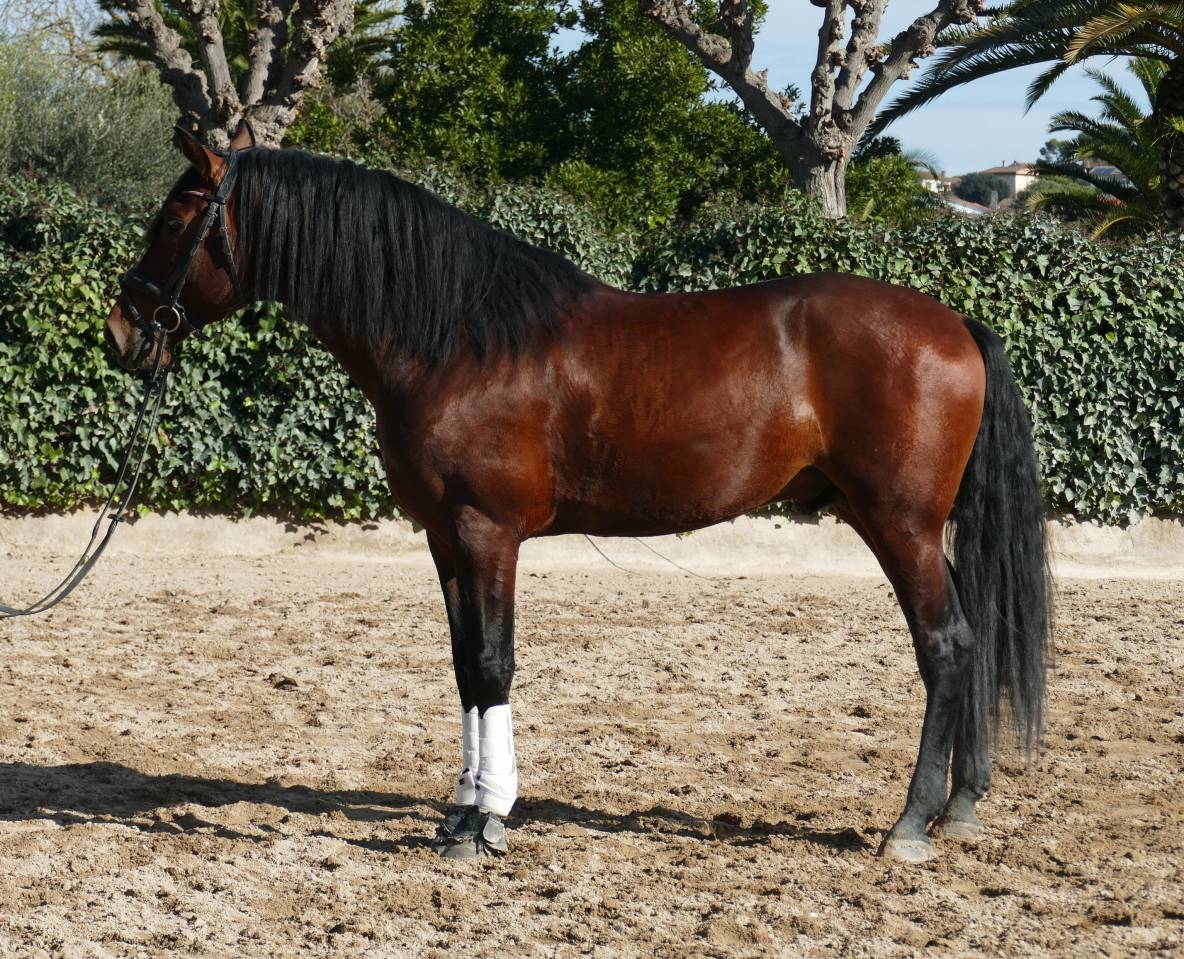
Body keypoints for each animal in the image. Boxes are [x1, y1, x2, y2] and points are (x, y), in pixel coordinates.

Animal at [105, 120, 1051, 863]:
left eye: (177, 215)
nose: (121, 332)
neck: (459, 339)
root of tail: (954, 322)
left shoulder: (487, 531)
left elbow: (494, 661)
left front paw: (485, 823)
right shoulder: (444, 536)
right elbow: (464, 665)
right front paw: (461, 809)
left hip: (900, 524)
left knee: (946, 646)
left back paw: (912, 822)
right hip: (909, 525)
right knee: (968, 641)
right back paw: (963, 803)